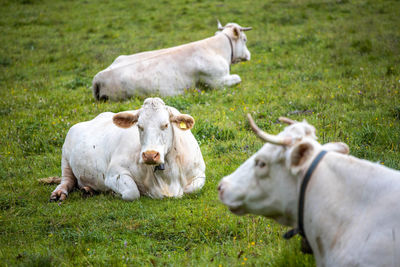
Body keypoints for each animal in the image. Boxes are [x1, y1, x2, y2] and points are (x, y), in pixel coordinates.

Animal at [49, 98, 205, 201]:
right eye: (139, 126)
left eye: (166, 125)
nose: (150, 155)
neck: (168, 178)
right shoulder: (113, 173)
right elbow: (132, 192)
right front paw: (114, 193)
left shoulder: (199, 174)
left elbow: (190, 190)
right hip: (65, 158)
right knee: (66, 181)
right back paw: (59, 193)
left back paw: (88, 189)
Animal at [92, 21, 252, 101]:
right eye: (244, 39)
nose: (249, 55)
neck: (217, 49)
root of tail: (98, 77)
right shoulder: (217, 81)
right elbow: (238, 78)